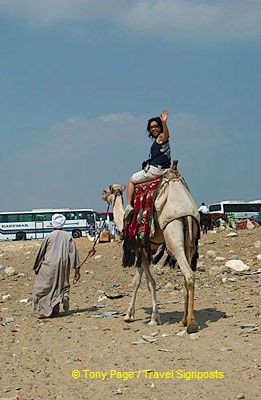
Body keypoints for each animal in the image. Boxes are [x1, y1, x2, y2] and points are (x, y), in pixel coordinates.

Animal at [101, 161, 199, 332]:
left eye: (107, 189)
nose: (101, 194)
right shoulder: (145, 249)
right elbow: (139, 281)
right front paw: (133, 314)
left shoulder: (139, 247)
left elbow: (146, 283)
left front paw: (149, 317)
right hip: (190, 241)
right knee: (186, 274)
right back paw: (183, 320)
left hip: (173, 233)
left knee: (188, 274)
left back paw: (191, 323)